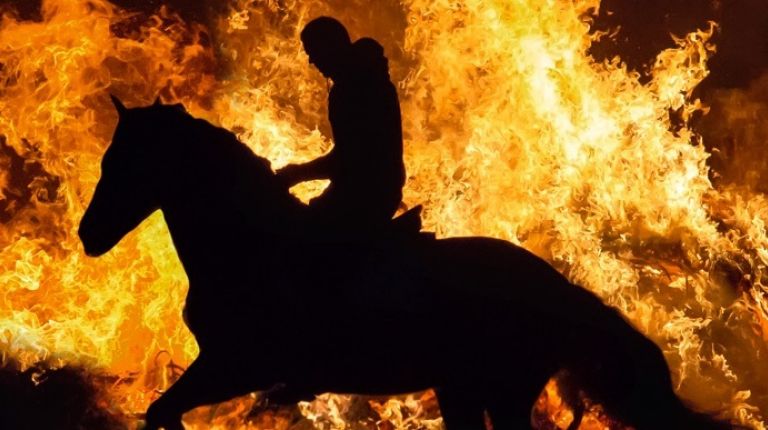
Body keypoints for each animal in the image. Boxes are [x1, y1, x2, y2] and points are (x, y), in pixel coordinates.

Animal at [78, 96, 736, 430]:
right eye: (108, 156)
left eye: (126, 160)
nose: (88, 235)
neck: (252, 248)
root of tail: (559, 287)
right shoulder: (223, 369)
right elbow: (161, 414)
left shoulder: (236, 366)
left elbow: (162, 412)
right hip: (464, 388)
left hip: (501, 390)